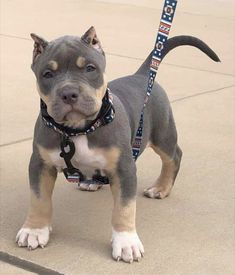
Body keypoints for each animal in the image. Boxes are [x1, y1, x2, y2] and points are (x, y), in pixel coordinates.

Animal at [16, 27, 218, 264]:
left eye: (90, 68)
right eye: (47, 74)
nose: (68, 93)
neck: (79, 129)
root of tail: (142, 75)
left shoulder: (124, 168)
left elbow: (124, 207)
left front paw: (126, 242)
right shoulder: (40, 164)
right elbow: (39, 199)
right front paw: (35, 230)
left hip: (163, 134)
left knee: (174, 156)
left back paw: (161, 187)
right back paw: (91, 182)